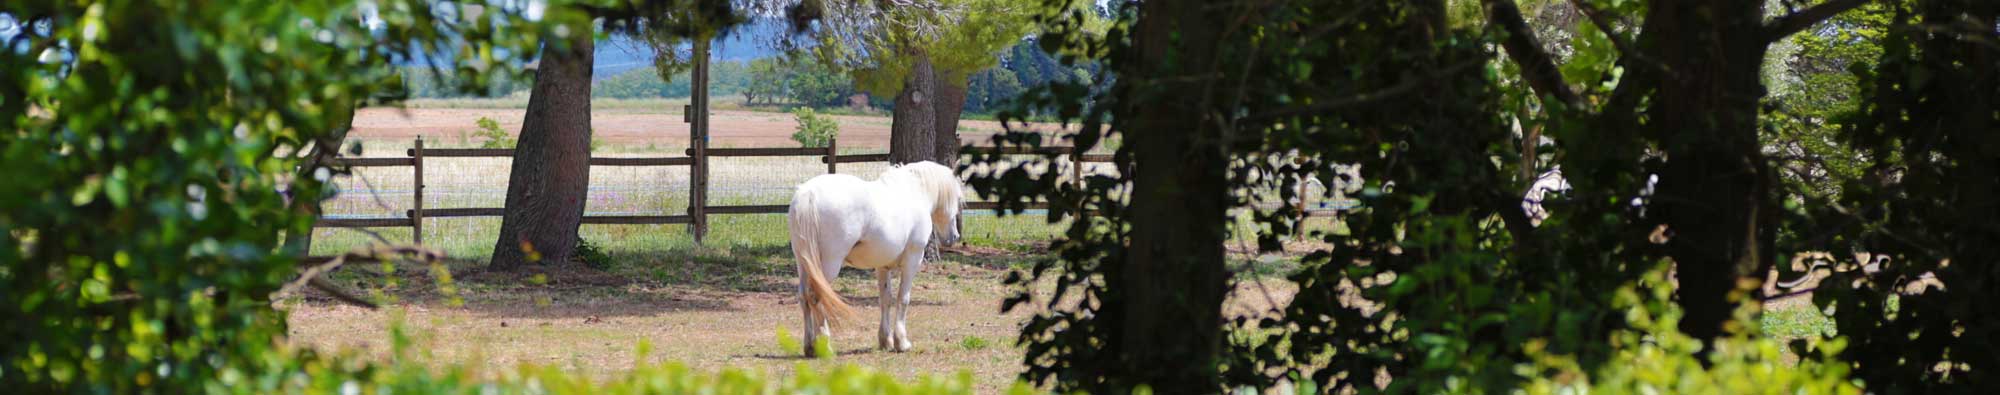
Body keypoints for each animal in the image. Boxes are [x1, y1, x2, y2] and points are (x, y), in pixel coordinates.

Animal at [784, 158, 964, 357]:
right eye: (958, 198)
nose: (954, 237)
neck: (914, 192)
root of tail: (809, 194)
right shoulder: (913, 259)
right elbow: (903, 299)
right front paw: (902, 342)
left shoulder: (882, 266)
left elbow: (885, 299)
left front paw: (886, 341)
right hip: (829, 264)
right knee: (817, 295)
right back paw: (825, 346)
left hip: (803, 262)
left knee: (804, 297)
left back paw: (809, 346)